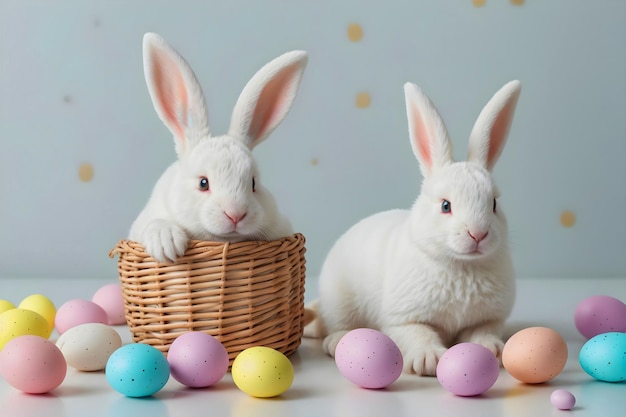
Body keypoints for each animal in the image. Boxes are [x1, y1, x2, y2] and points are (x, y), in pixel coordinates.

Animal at [304, 79, 520, 376]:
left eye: (494, 203)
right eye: (445, 206)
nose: (478, 234)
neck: (462, 265)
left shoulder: (490, 318)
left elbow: (482, 332)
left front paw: (493, 350)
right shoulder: (403, 320)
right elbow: (418, 333)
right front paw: (428, 360)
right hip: (340, 302)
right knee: (335, 325)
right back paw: (338, 341)